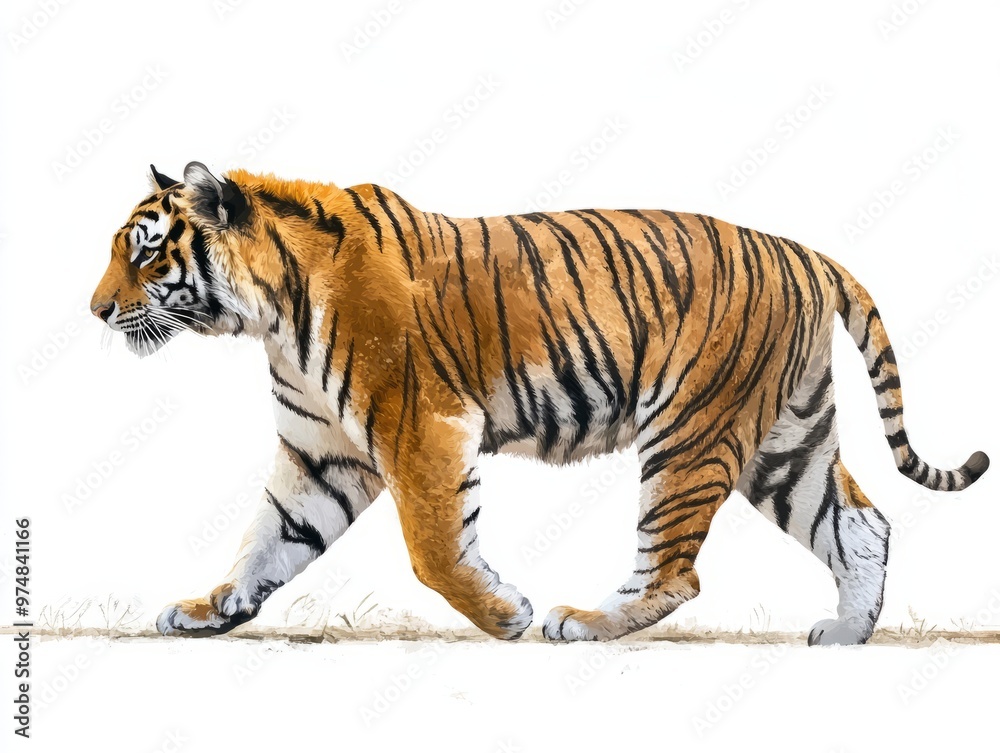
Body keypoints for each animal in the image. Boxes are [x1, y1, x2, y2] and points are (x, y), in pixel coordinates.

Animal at [90, 161, 989, 645]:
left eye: (147, 252)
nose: (95, 311)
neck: (268, 315)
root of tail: (802, 251)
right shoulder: (323, 452)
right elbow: (271, 538)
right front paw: (214, 607)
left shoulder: (421, 426)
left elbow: (434, 548)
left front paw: (505, 613)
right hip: (784, 437)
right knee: (860, 524)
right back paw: (846, 633)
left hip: (691, 431)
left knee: (676, 566)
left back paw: (584, 619)